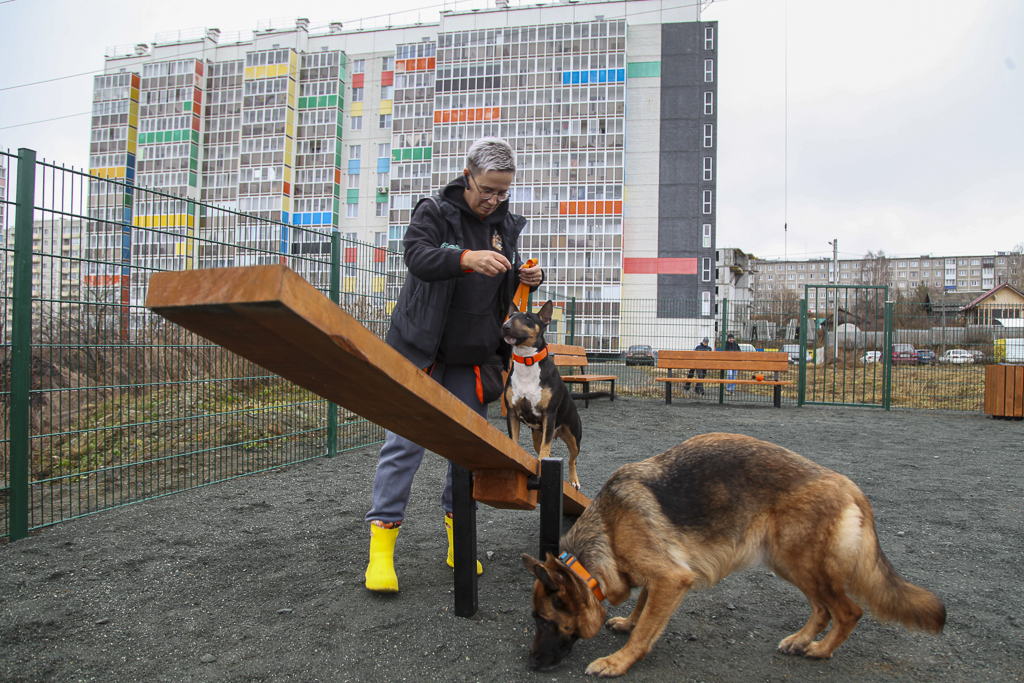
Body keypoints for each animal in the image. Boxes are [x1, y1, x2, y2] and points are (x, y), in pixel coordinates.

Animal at [503, 301, 585, 489]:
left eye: (527, 317)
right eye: (511, 316)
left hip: (573, 436)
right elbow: (514, 440)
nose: (505, 326)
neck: (527, 361)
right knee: (542, 445)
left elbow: (546, 446)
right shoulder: (512, 412)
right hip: (537, 434)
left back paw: (574, 480)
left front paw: (542, 462)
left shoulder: (550, 413)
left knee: (572, 459)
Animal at [524, 436, 946, 675]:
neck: (607, 531)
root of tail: (848, 484)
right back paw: (800, 640)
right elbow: (643, 607)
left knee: (848, 611)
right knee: (823, 609)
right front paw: (628, 621)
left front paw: (619, 661)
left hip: (801, 562)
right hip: (787, 562)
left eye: (544, 621)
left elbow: (647, 628)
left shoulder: (671, 578)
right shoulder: (662, 575)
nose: (531, 663)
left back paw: (820, 650)